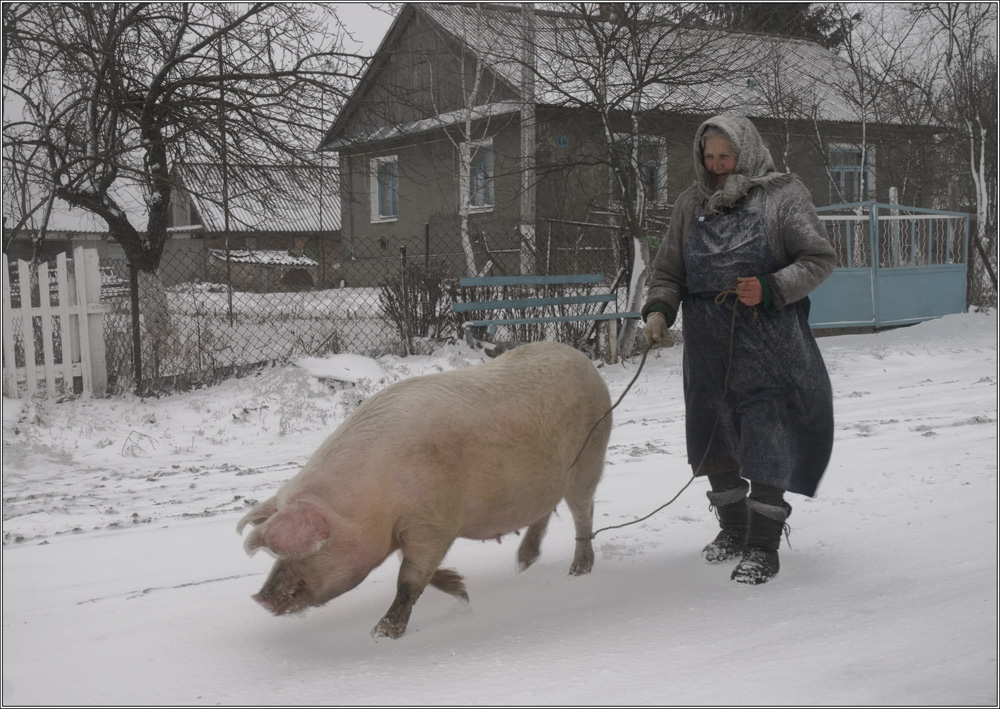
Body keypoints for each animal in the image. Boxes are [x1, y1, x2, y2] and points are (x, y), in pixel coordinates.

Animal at [236, 340, 608, 640]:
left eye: (309, 549)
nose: (261, 598)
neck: (372, 497)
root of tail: (586, 363)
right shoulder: (408, 530)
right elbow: (416, 569)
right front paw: (459, 588)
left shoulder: (434, 523)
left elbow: (408, 580)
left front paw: (382, 634)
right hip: (548, 481)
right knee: (545, 510)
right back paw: (523, 564)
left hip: (589, 459)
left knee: (583, 511)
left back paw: (578, 570)